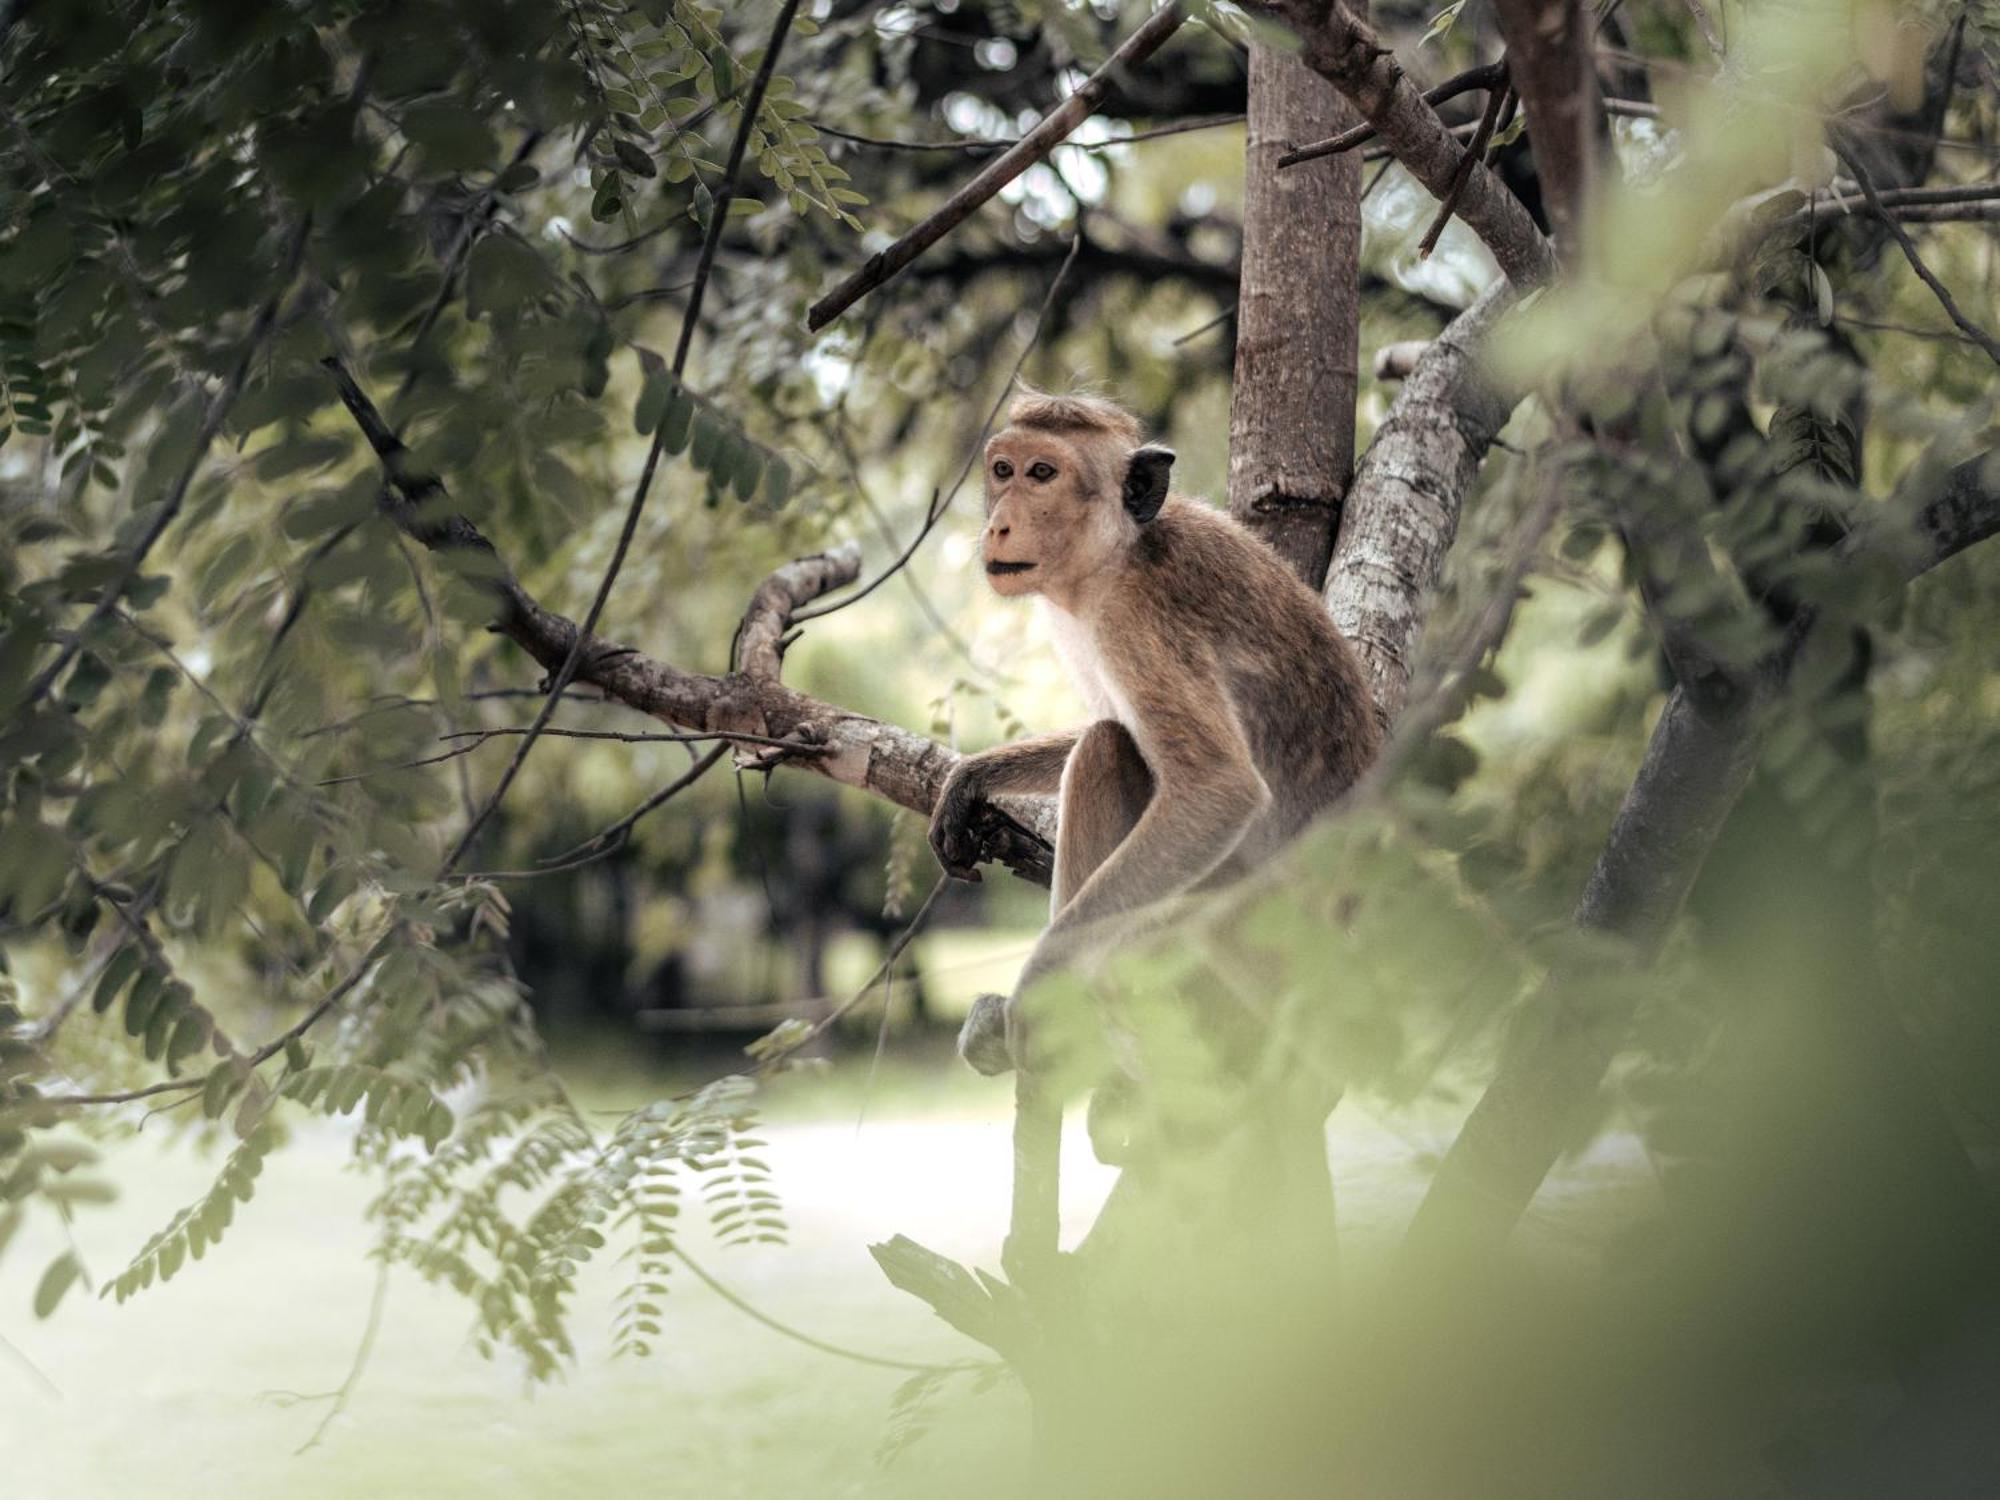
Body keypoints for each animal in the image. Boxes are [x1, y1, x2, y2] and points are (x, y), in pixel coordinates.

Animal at [928, 394, 1384, 1088]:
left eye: (1042, 474)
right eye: (1003, 471)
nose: (999, 525)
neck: (1118, 553)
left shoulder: (1137, 620)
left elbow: (1218, 786)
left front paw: (1041, 979)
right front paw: (972, 777)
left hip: (1247, 934)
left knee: (1108, 751)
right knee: (1111, 740)